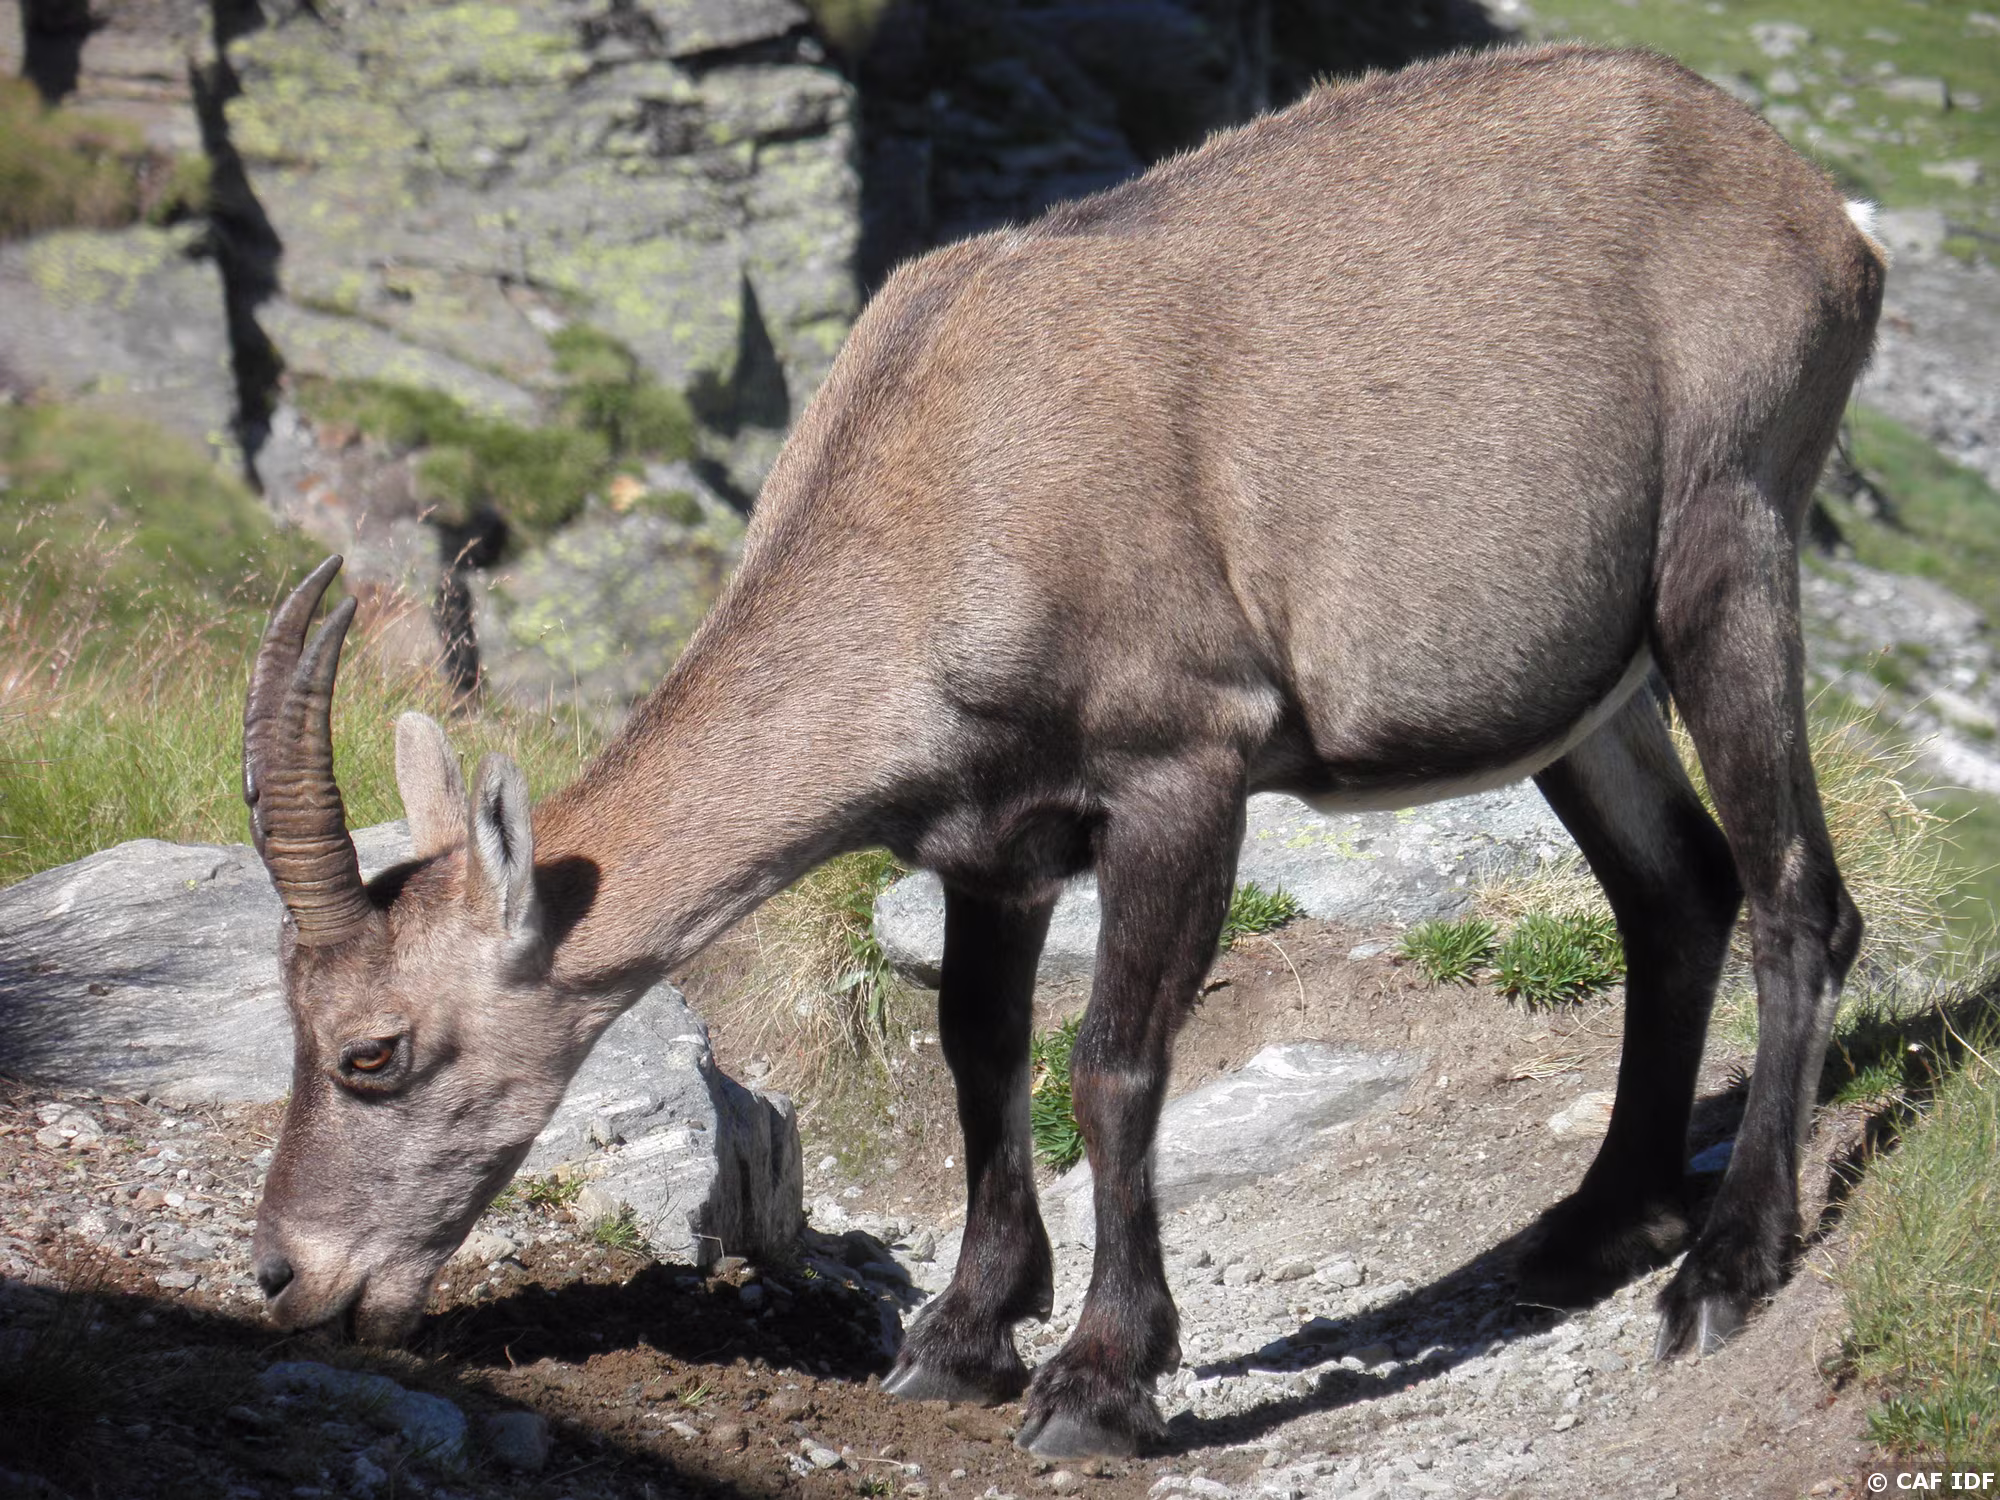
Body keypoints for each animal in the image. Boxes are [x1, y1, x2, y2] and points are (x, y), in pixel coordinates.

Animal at [243, 43, 1885, 1459]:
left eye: (372, 1051)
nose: (284, 1276)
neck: (942, 492)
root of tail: (1821, 212)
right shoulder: (993, 842)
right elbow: (980, 1052)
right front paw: (964, 1334)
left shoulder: (1182, 774)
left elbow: (1112, 1066)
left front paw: (1103, 1378)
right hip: (1587, 686)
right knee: (1676, 890)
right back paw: (1598, 1226)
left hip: (1727, 537)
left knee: (1797, 894)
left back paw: (1723, 1269)